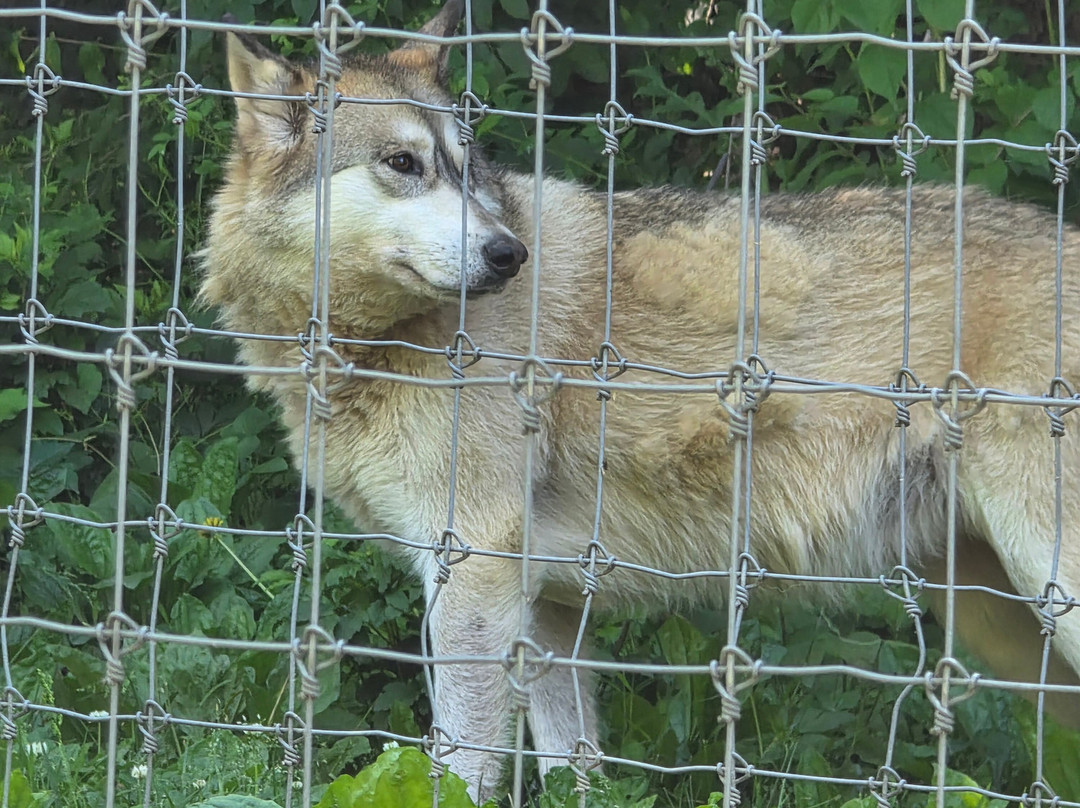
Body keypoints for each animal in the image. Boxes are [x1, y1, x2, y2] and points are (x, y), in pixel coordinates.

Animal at [201, 0, 1080, 800]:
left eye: (464, 167)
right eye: (403, 163)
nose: (509, 254)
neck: (378, 348)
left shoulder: (473, 581)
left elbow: (459, 769)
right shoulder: (543, 608)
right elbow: (570, 769)